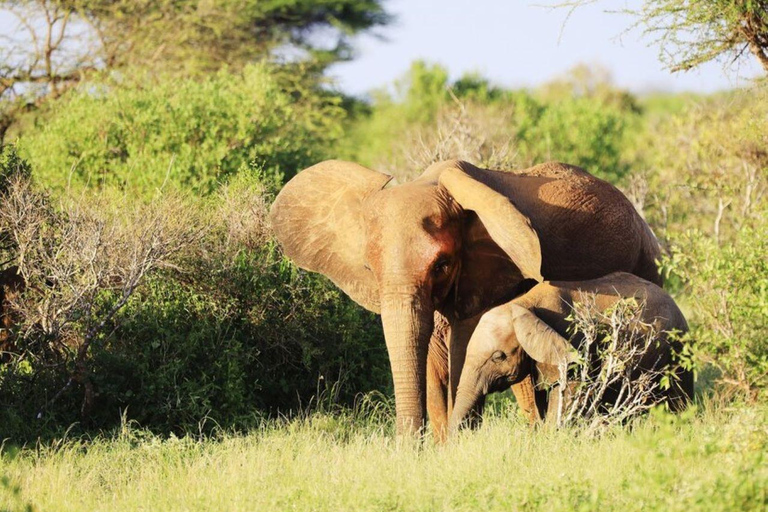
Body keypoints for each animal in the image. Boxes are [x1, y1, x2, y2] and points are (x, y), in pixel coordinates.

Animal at [270, 159, 660, 436]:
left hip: (645, 260)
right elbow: (430, 356)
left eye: (442, 265)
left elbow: (464, 351)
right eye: (368, 267)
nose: (409, 451)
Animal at [450, 272, 696, 432]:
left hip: (677, 353)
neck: (523, 303)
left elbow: (566, 394)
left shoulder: (574, 338)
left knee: (679, 399)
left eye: (498, 357)